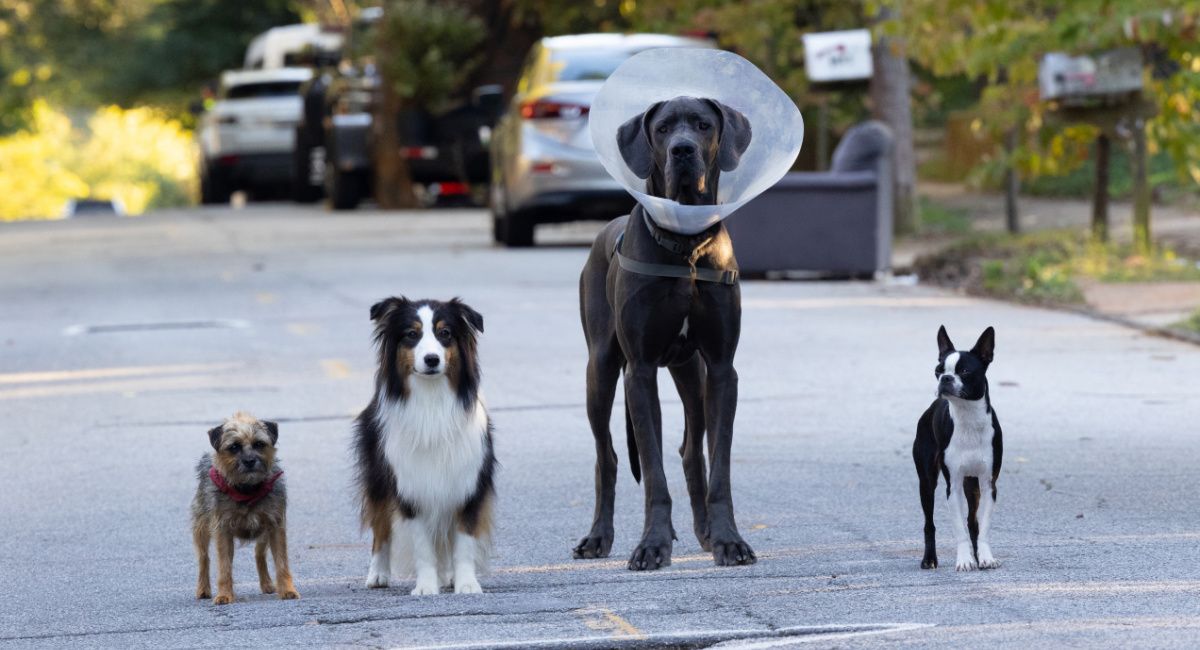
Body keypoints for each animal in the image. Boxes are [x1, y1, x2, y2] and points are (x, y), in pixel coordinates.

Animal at [350, 297, 496, 597]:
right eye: (411, 334)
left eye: (445, 333)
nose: (432, 359)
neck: (432, 399)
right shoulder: (411, 487)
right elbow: (422, 545)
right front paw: (426, 586)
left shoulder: (467, 483)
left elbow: (463, 541)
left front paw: (466, 583)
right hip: (379, 480)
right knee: (381, 529)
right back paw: (378, 574)